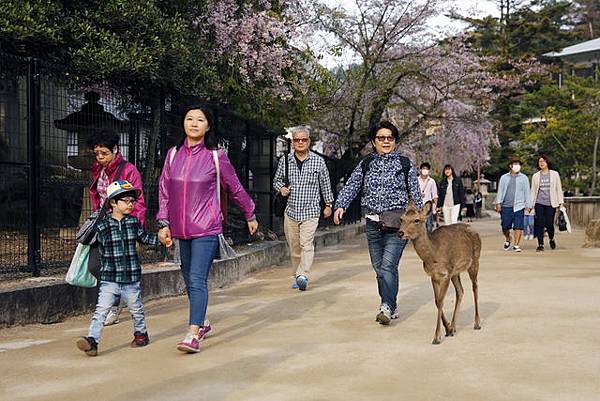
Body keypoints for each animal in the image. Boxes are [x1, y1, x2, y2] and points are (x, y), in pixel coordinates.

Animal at [398, 200, 482, 344]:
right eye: (401, 219)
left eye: (416, 220)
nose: (400, 233)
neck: (433, 256)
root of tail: (475, 230)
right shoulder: (434, 276)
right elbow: (437, 301)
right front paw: (447, 329)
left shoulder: (445, 274)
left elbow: (441, 301)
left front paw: (436, 337)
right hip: (455, 272)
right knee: (460, 291)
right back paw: (453, 327)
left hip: (475, 261)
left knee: (475, 287)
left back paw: (477, 323)